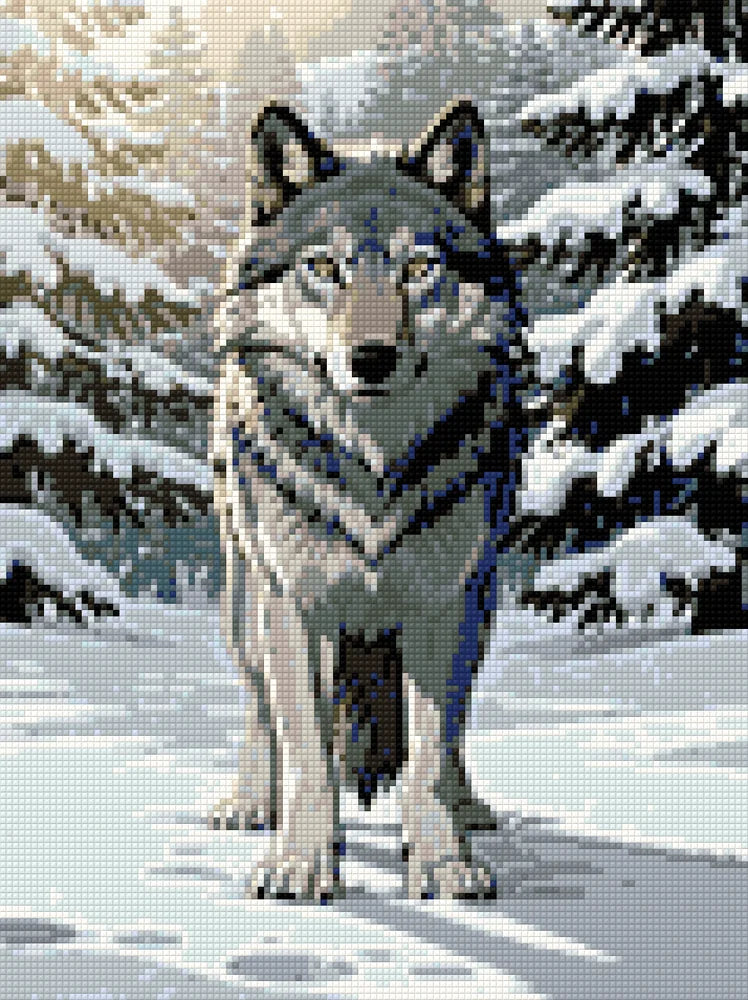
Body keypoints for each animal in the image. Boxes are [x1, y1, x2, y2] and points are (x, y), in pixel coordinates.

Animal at [210, 99, 525, 900]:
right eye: (325, 268)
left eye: (420, 269)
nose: (372, 358)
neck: (373, 469)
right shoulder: (295, 605)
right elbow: (307, 749)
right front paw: (300, 862)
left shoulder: (444, 607)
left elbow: (429, 751)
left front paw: (442, 860)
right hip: (244, 598)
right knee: (259, 706)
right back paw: (248, 803)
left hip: (484, 610)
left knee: (454, 732)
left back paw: (470, 808)